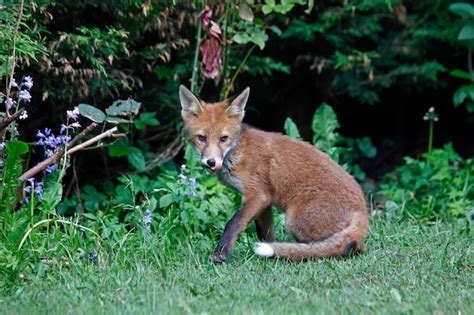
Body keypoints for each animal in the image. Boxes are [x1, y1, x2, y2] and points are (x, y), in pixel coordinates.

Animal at [180, 85, 368, 262]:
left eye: (223, 139)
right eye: (201, 138)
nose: (211, 162)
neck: (237, 153)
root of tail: (363, 211)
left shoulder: (257, 195)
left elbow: (233, 223)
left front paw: (220, 254)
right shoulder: (265, 201)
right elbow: (266, 234)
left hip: (293, 220)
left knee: (342, 247)